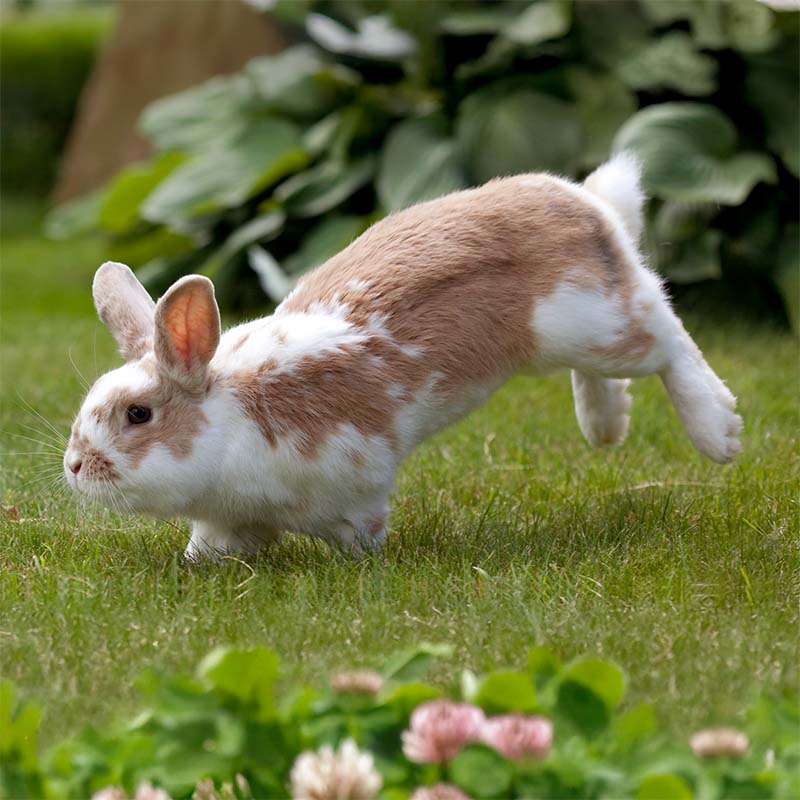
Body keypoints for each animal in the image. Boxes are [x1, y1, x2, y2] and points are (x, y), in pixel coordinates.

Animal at [64, 153, 742, 560]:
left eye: (138, 415)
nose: (74, 467)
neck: (232, 417)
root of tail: (589, 204)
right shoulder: (228, 521)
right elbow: (211, 545)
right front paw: (196, 564)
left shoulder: (356, 485)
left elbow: (363, 533)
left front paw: (366, 566)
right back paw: (606, 425)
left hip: (598, 323)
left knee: (668, 335)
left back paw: (719, 433)